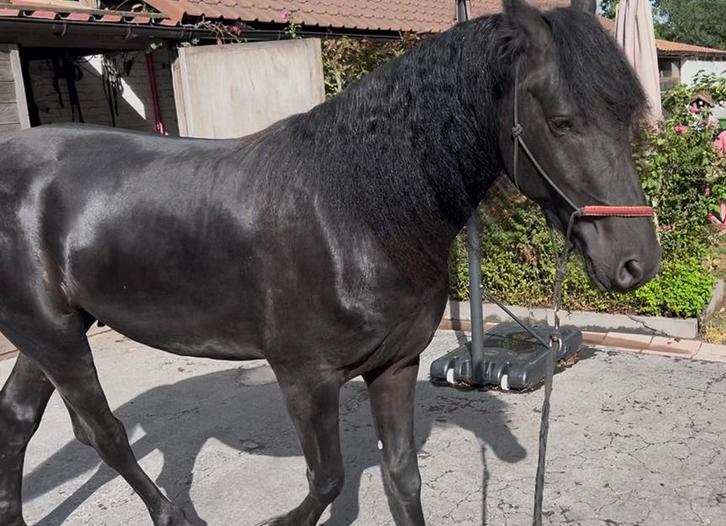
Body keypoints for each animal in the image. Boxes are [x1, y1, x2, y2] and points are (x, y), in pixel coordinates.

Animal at [0, 0, 660, 524]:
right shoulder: (305, 379)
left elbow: (402, 480)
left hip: (51, 333)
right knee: (103, 433)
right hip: (53, 335)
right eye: (563, 121)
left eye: (625, 115)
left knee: (20, 420)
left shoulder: (396, 367)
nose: (639, 262)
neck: (356, 213)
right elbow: (326, 483)